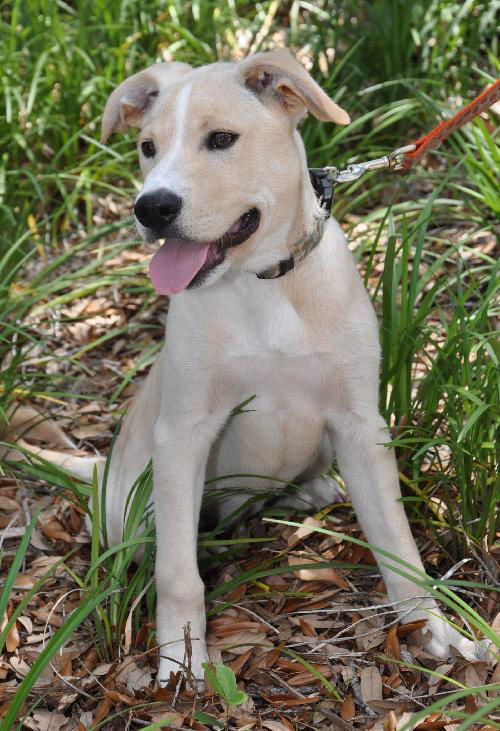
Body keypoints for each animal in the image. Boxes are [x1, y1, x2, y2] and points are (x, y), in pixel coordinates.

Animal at [94, 48, 484, 684]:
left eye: (221, 139)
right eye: (147, 147)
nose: (151, 207)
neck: (262, 285)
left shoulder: (360, 423)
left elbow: (397, 542)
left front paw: (431, 629)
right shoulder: (183, 432)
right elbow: (177, 573)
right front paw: (182, 659)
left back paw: (306, 494)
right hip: (134, 501)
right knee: (153, 545)